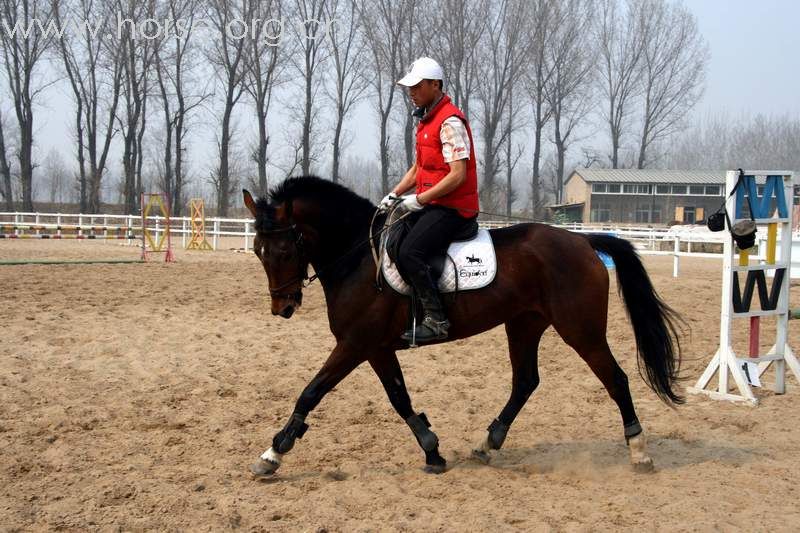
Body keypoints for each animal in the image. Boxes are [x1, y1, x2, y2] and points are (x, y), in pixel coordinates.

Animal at [244, 177, 680, 476]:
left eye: (284, 250)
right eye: (259, 251)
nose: (282, 307)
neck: (358, 258)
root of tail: (584, 242)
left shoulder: (355, 344)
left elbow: (310, 392)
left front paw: (273, 453)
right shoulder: (377, 348)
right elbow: (399, 398)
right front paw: (433, 451)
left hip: (581, 330)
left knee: (616, 379)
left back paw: (639, 451)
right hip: (524, 324)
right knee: (526, 381)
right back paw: (488, 443)